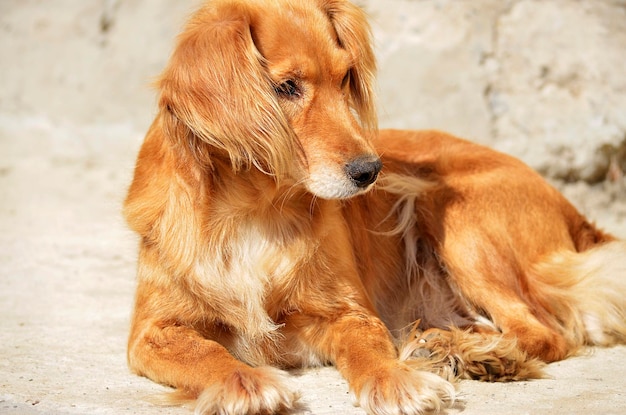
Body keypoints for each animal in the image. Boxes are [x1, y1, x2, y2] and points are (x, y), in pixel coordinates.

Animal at [123, 1, 624, 414]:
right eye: (286, 87)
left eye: (345, 77)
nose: (371, 171)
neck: (250, 210)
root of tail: (573, 211)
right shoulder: (150, 333)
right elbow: (204, 351)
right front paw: (243, 381)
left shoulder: (348, 313)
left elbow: (368, 347)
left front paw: (396, 380)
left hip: (455, 218)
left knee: (542, 332)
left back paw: (464, 354)